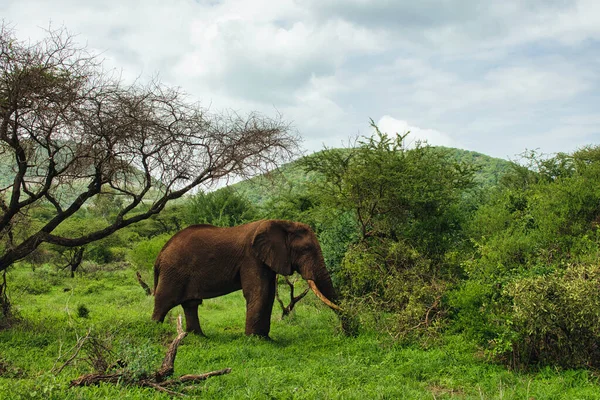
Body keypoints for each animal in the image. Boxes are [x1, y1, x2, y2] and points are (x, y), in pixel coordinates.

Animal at [150, 219, 342, 338]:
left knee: (191, 304)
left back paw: (199, 336)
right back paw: (154, 329)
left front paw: (264, 338)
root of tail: (160, 254)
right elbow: (259, 292)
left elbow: (268, 294)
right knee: (164, 301)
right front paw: (256, 339)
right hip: (173, 272)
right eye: (306, 249)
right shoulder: (251, 257)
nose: (345, 331)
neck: (281, 223)